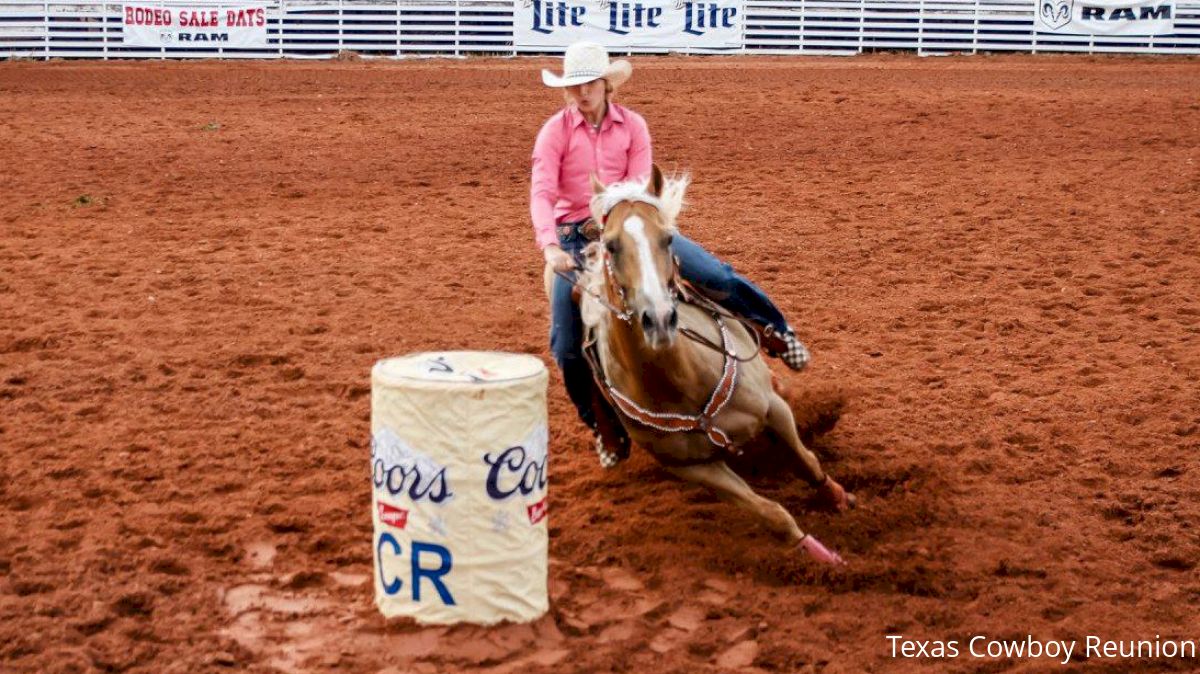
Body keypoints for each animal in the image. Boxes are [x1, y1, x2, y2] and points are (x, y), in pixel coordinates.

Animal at [573, 165, 849, 563]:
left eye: (668, 238)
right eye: (610, 245)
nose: (659, 319)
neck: (679, 381)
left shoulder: (772, 409)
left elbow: (805, 459)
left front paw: (838, 497)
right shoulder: (694, 468)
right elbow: (771, 514)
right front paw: (821, 558)